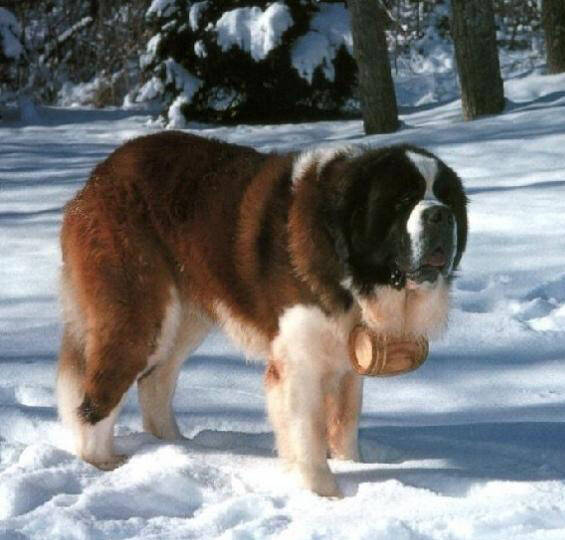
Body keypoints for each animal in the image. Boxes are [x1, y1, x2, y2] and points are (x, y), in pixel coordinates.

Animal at [58, 132, 468, 498]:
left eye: (445, 197)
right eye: (402, 200)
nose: (440, 216)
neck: (349, 265)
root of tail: (98, 177)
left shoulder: (348, 360)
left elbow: (345, 421)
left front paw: (353, 466)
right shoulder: (299, 363)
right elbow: (307, 431)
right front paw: (325, 495)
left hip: (186, 319)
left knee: (155, 381)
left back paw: (181, 449)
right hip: (140, 315)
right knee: (97, 396)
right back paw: (102, 462)